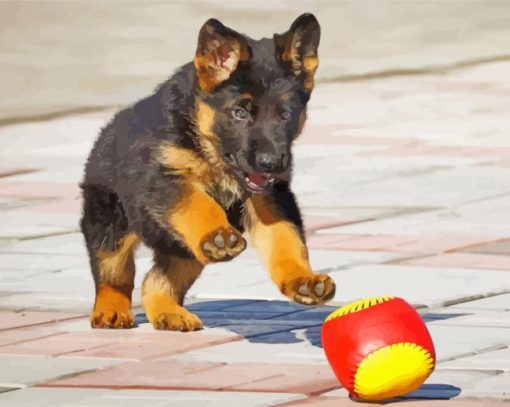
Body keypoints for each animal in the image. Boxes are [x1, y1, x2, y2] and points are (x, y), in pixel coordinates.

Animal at [80, 13, 334, 332]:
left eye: (286, 114)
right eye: (240, 113)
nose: (272, 163)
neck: (208, 150)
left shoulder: (270, 195)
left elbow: (285, 239)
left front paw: (302, 279)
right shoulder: (166, 179)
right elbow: (200, 205)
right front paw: (217, 234)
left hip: (182, 249)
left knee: (155, 281)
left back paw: (169, 312)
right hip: (110, 223)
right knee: (114, 272)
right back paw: (111, 310)